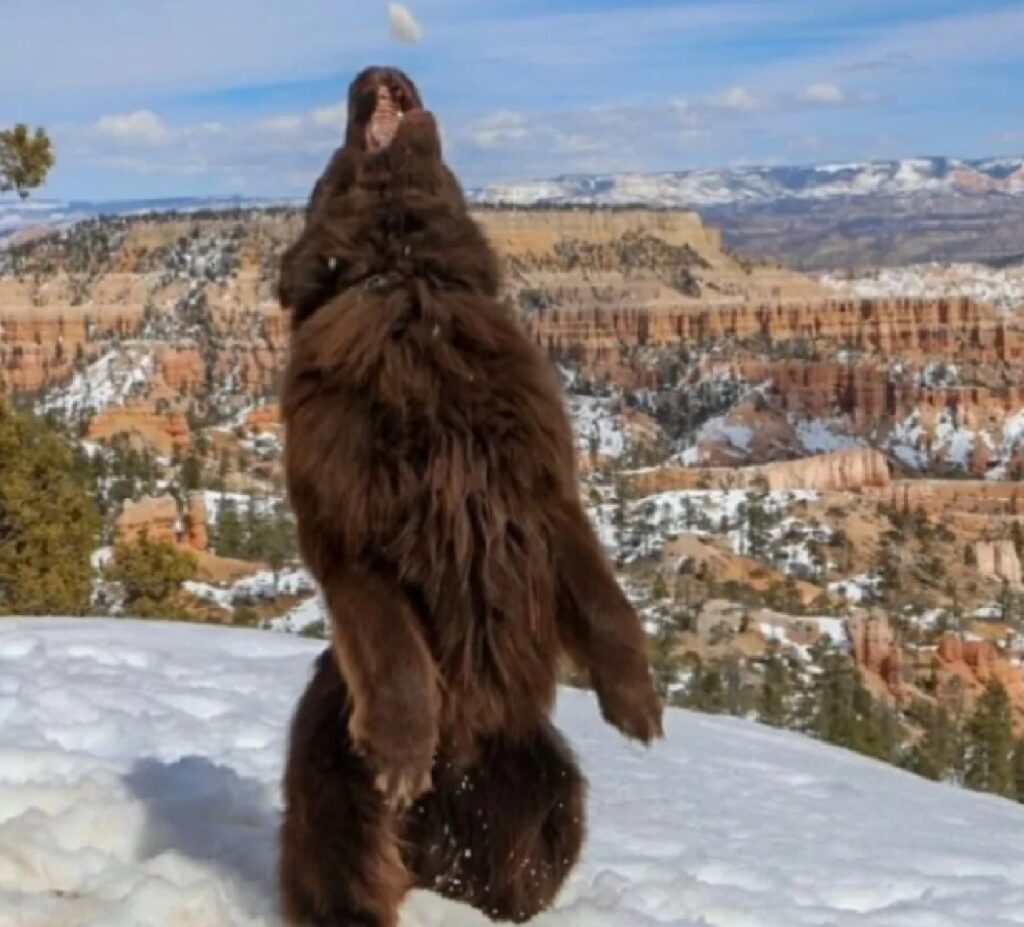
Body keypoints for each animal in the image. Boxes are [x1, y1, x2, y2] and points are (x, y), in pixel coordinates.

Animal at [276, 67, 659, 925]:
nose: (375, 69)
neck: (407, 283)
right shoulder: (351, 534)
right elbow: (397, 655)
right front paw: (401, 754)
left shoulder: (545, 498)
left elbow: (607, 604)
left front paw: (638, 705)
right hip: (333, 786)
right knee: (350, 874)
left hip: (549, 781)